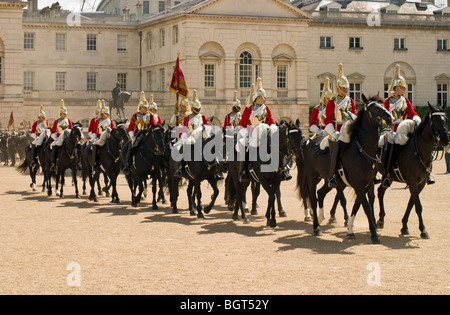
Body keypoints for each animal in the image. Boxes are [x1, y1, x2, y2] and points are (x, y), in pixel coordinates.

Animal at [298, 94, 394, 244]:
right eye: (373, 108)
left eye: (383, 105)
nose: (390, 118)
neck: (363, 150)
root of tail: (309, 142)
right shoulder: (358, 184)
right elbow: (365, 207)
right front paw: (374, 234)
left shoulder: (368, 184)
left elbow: (362, 205)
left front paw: (351, 229)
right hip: (312, 177)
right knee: (313, 199)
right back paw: (316, 227)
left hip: (329, 179)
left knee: (320, 193)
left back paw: (321, 217)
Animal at [376, 102, 446, 238]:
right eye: (435, 120)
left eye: (445, 119)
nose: (446, 139)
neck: (419, 150)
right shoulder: (412, 182)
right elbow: (418, 205)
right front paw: (423, 230)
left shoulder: (421, 183)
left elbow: (411, 203)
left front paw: (404, 226)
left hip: (388, 177)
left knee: (380, 191)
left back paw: (381, 220)